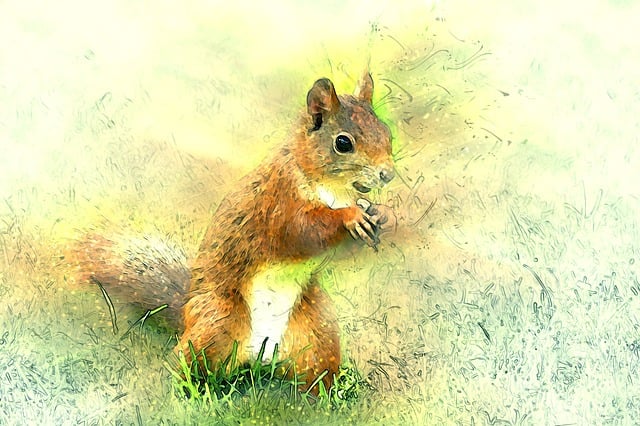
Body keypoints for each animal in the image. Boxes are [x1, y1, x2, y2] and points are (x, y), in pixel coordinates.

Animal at [70, 72, 396, 392]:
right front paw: (350, 216)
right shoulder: (279, 204)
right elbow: (304, 230)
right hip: (219, 322)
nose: (388, 174)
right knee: (186, 363)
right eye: (343, 143)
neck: (332, 188)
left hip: (317, 330)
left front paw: (385, 214)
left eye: (386, 131)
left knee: (313, 374)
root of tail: (261, 358)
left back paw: (329, 393)